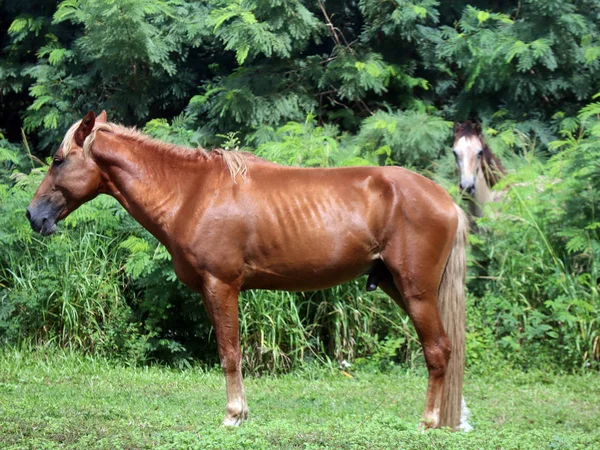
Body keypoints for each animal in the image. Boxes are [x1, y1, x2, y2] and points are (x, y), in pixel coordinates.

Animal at [27, 111, 468, 428]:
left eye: (58, 160)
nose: (34, 215)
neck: (191, 193)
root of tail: (445, 199)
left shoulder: (220, 286)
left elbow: (230, 353)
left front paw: (233, 416)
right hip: (399, 287)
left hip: (416, 291)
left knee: (438, 350)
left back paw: (429, 422)